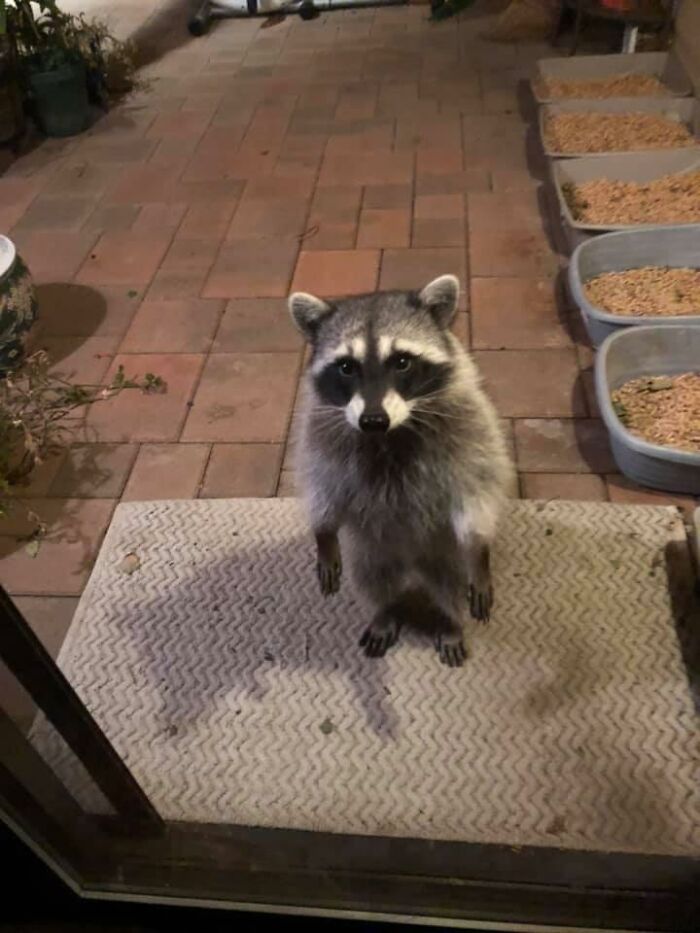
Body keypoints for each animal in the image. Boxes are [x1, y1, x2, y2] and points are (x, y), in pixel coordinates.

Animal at [288, 274, 512, 668]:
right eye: (347, 367)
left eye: (402, 361)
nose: (373, 420)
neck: (390, 434)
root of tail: (412, 568)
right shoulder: (320, 434)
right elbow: (322, 487)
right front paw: (323, 534)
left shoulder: (471, 427)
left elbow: (477, 489)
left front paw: (479, 552)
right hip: (370, 551)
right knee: (372, 582)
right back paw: (383, 614)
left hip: (443, 552)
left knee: (450, 586)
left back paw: (450, 622)